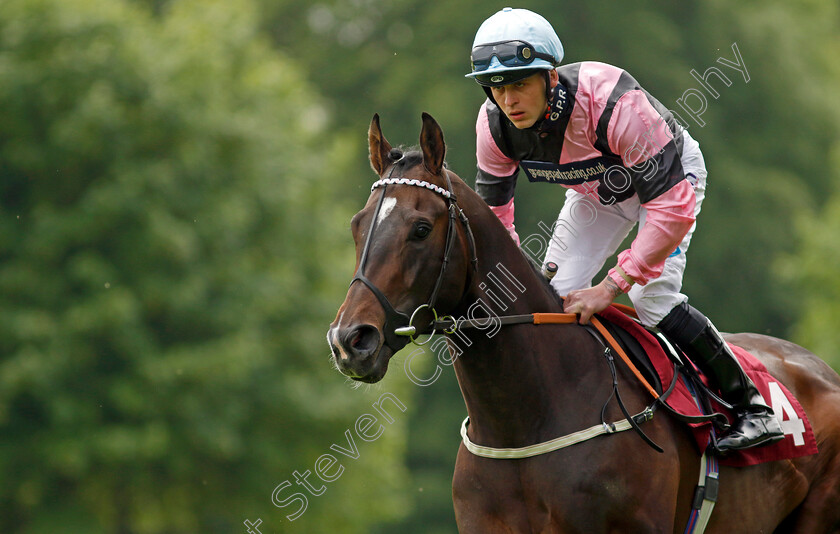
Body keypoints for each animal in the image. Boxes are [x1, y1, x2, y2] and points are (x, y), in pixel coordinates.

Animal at [326, 114, 840, 534]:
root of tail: (820, 369)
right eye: (355, 225)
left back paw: (754, 419)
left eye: (420, 229)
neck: (526, 420)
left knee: (658, 295)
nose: (350, 339)